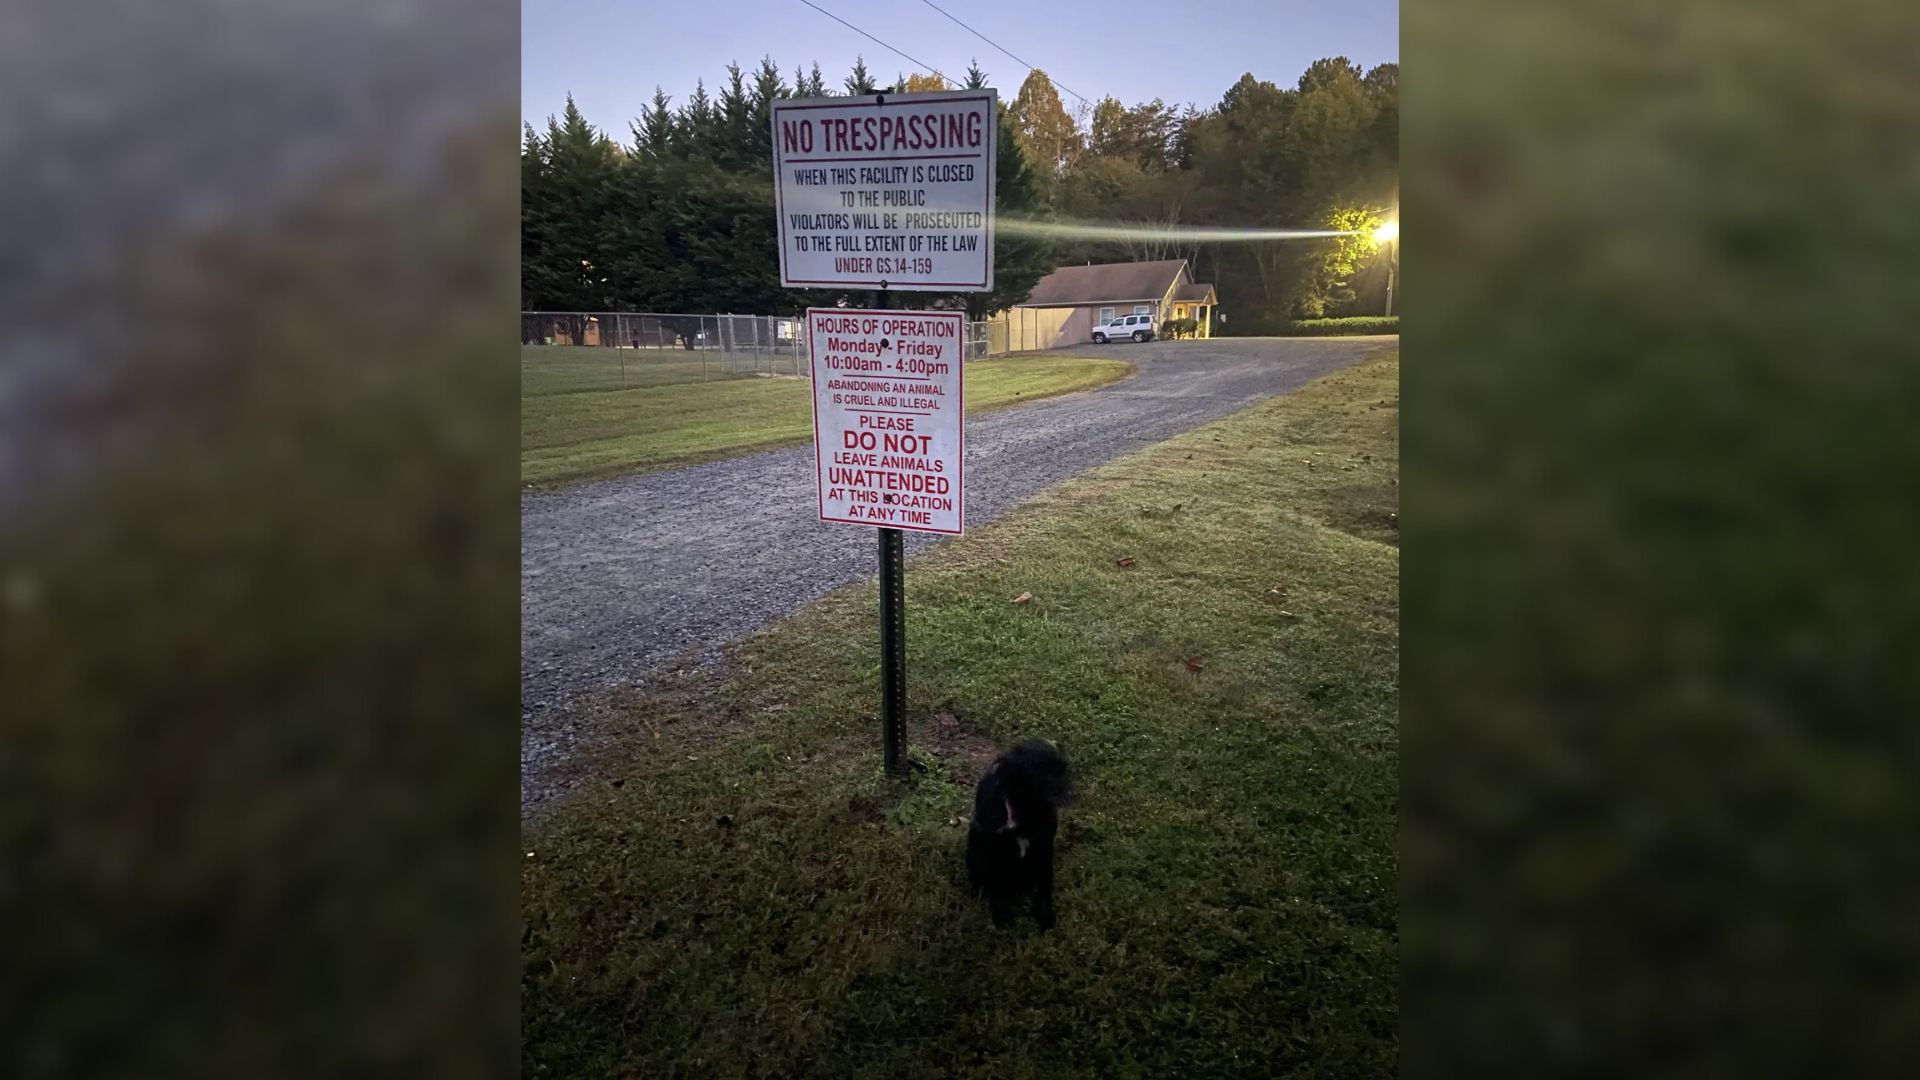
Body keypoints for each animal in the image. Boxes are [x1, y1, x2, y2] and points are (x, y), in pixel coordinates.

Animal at [967, 737, 1075, 926]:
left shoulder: (1045, 846)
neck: (1026, 813)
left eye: (1064, 769)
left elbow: (1045, 881)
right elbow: (995, 884)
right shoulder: (991, 849)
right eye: (1041, 772)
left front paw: (1044, 912)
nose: (1073, 794)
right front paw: (1002, 915)